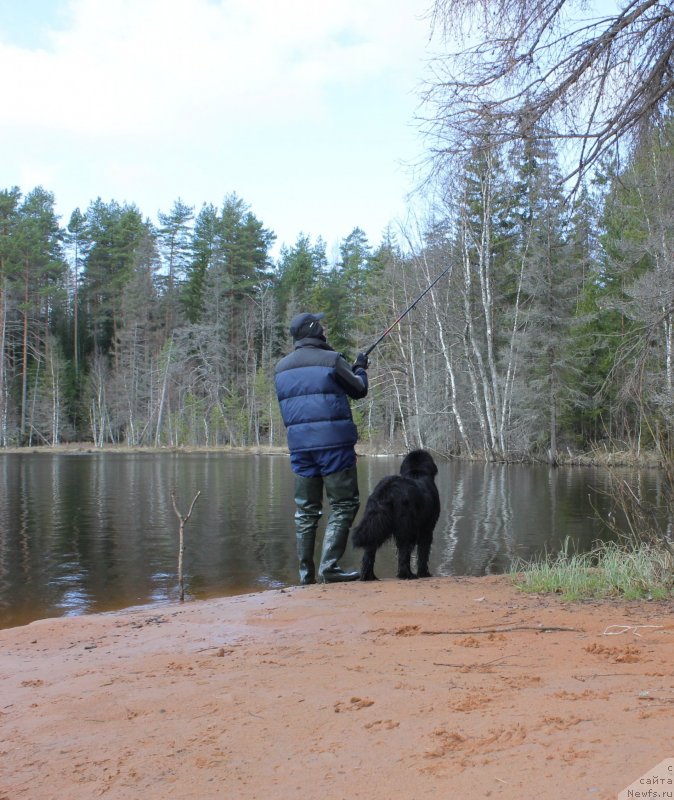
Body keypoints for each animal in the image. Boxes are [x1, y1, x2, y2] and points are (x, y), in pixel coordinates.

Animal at [350, 450, 438, 580]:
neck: (416, 473)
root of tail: (388, 489)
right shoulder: (427, 529)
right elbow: (423, 553)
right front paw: (424, 574)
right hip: (406, 528)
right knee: (404, 552)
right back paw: (407, 574)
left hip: (375, 523)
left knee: (369, 552)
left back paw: (369, 576)